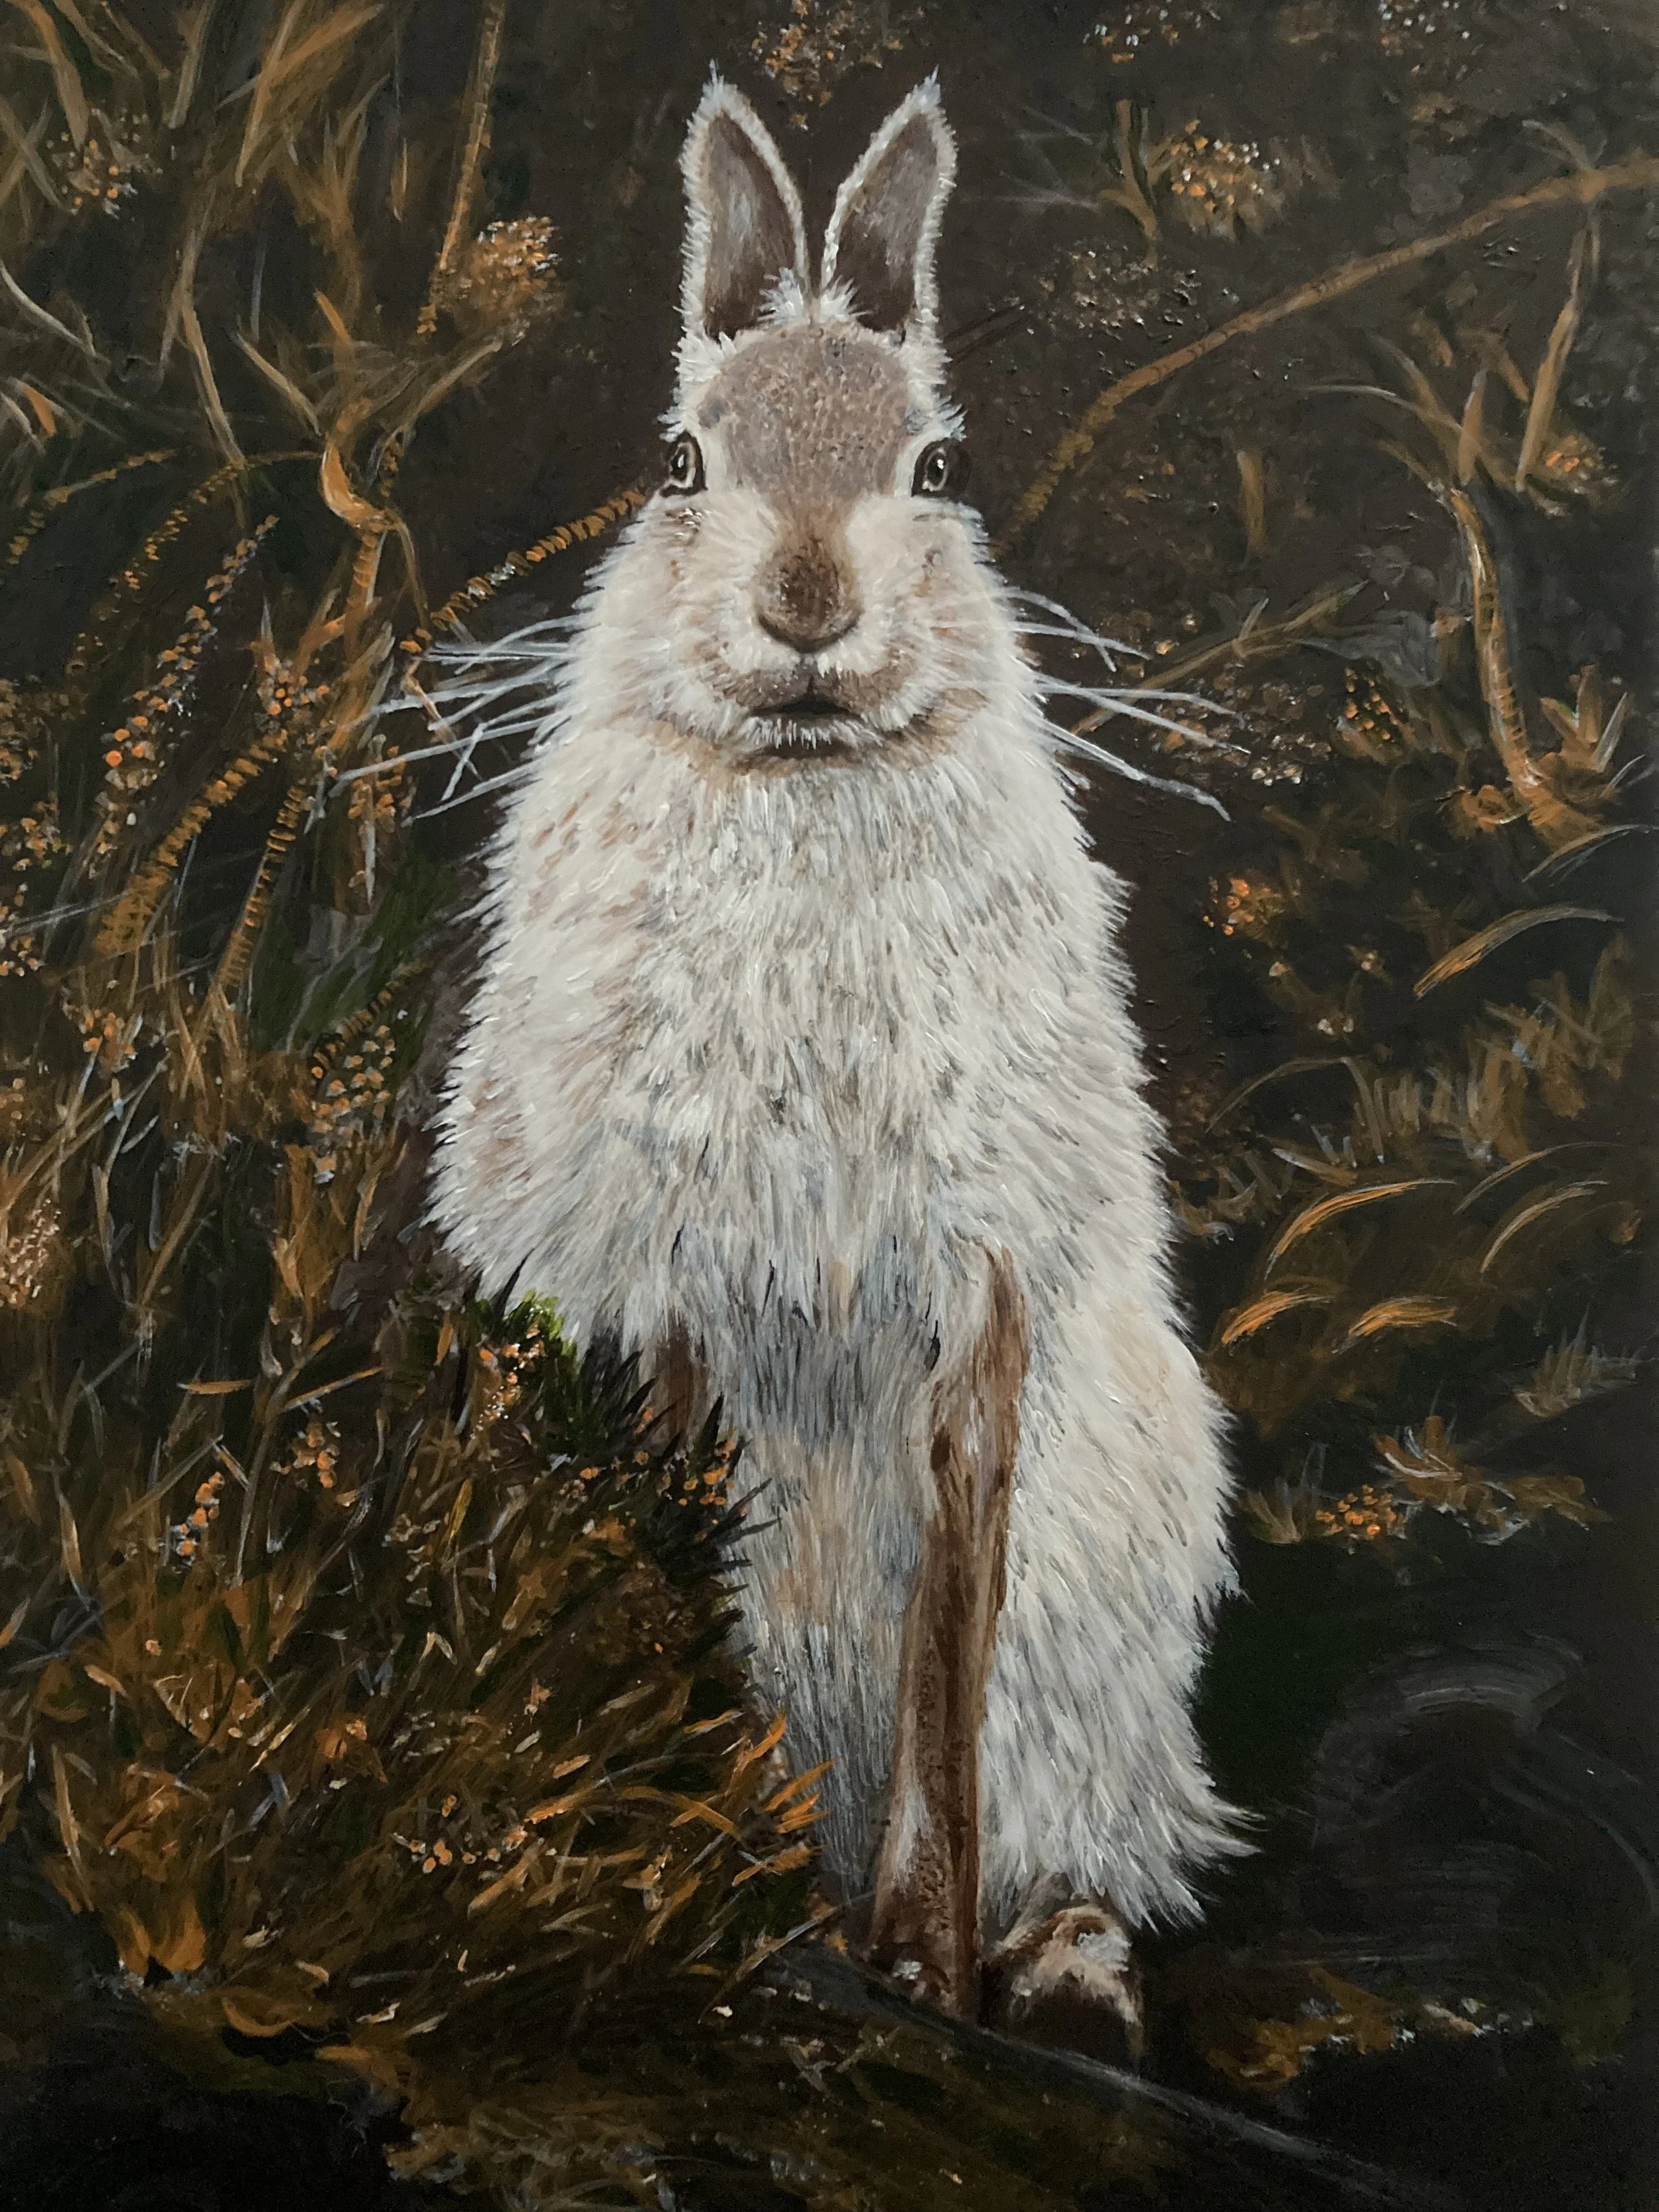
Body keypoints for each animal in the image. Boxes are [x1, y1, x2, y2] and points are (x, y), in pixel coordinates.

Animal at [430, 72, 1243, 2026]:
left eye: (934, 471)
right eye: (679, 465)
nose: (807, 610)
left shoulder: (980, 1304)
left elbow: (944, 1672)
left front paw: (923, 1969)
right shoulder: (666, 1289)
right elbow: (684, 1533)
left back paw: (1052, 1967)